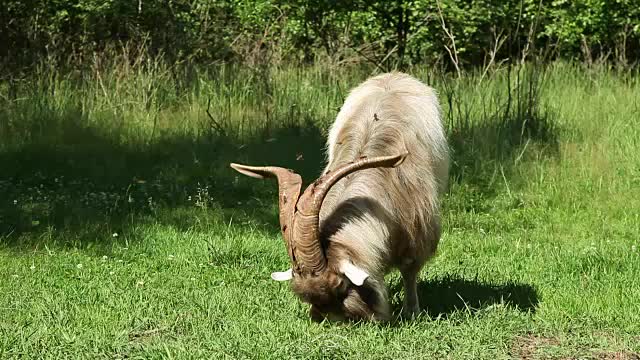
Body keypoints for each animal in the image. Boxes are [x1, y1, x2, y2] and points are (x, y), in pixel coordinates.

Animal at [231, 71, 450, 320]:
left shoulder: (418, 229)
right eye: (308, 298)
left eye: (340, 285)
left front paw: (411, 312)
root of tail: (392, 75)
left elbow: (409, 270)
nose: (335, 322)